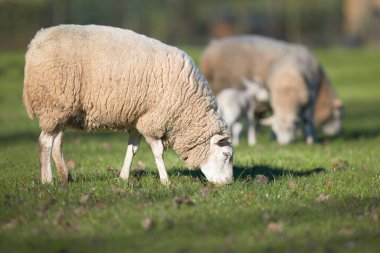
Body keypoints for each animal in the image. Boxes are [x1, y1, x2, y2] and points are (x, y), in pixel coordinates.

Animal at [23, 24, 235, 185]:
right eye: (226, 155)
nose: (228, 184)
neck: (188, 110)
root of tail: (36, 41)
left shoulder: (138, 118)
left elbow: (132, 149)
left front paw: (124, 177)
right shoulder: (152, 119)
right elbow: (158, 152)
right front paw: (165, 181)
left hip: (62, 110)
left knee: (56, 143)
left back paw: (66, 176)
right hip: (53, 103)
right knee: (45, 142)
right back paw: (47, 180)